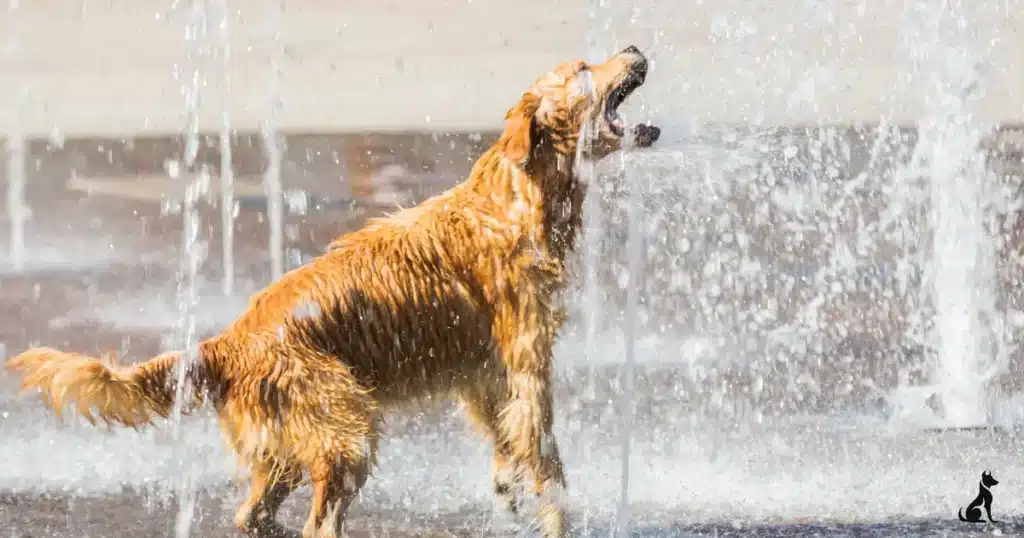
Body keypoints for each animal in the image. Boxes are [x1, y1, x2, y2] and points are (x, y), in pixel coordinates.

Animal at [6, 47, 655, 536]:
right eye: (582, 68)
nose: (633, 47)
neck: (516, 201)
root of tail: (223, 345)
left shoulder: (485, 374)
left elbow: (509, 448)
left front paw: (509, 493)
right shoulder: (525, 362)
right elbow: (546, 459)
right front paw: (557, 515)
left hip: (289, 445)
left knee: (252, 515)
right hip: (347, 430)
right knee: (316, 525)